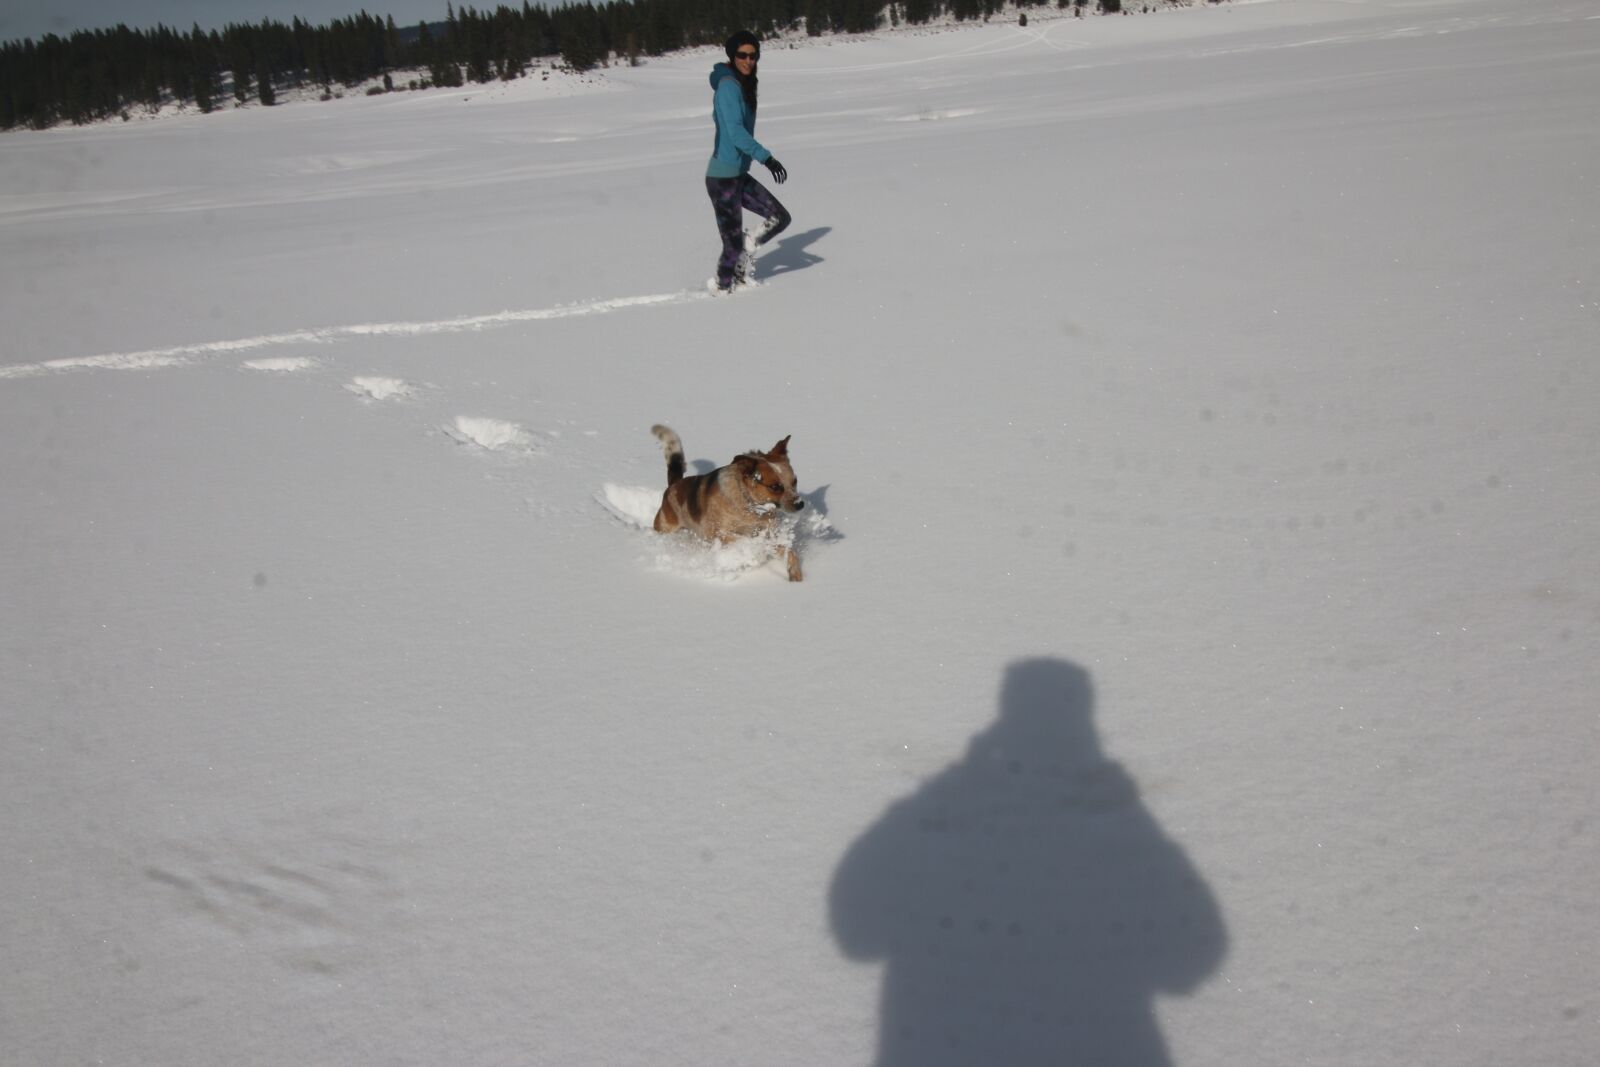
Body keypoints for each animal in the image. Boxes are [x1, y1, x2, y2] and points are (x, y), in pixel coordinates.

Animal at [646, 422, 800, 585]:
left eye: (795, 481)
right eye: (775, 487)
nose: (800, 503)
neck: (749, 506)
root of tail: (674, 485)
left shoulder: (769, 531)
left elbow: (789, 553)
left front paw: (796, 577)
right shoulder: (718, 533)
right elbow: (743, 540)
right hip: (666, 528)